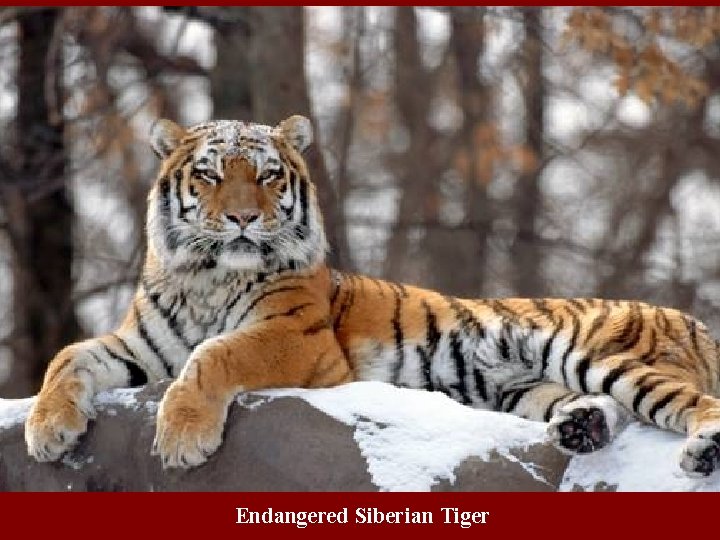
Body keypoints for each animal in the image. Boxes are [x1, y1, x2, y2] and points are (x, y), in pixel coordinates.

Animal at [23, 114, 720, 478]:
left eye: (267, 176)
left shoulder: (294, 341)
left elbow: (215, 353)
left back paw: (702, 451)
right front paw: (48, 430)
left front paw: (183, 436)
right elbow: (68, 355)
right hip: (526, 387)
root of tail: (691, 320)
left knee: (695, 402)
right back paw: (581, 428)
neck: (205, 275)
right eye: (211, 175)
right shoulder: (141, 346)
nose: (245, 218)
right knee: (601, 409)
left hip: (603, 356)